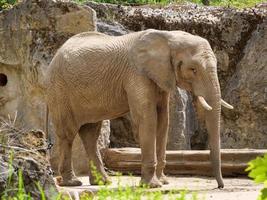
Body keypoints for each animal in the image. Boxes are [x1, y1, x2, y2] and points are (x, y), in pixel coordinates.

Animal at [44, 28, 234, 188]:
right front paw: (153, 185)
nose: (220, 186)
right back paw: (72, 182)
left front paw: (163, 182)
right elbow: (147, 118)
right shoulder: (137, 74)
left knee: (90, 133)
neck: (168, 37)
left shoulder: (161, 76)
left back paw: (102, 182)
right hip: (60, 90)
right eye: (193, 69)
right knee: (67, 134)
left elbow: (163, 121)